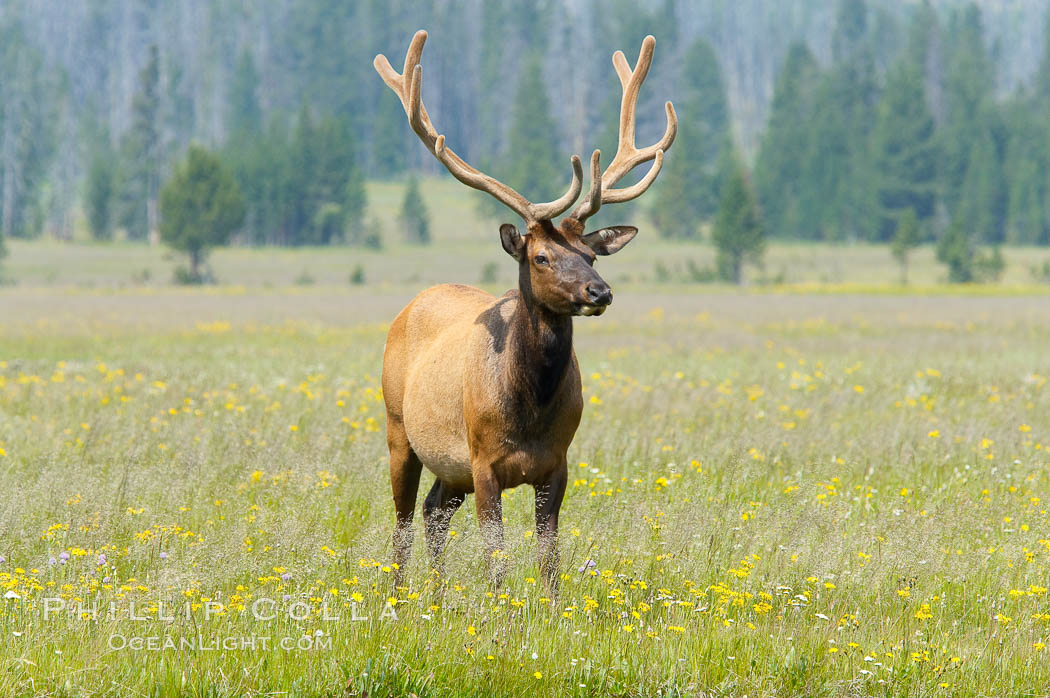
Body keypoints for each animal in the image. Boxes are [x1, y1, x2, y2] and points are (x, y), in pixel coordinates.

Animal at [373, 32, 676, 587]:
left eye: (591, 255)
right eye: (541, 256)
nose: (600, 292)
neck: (528, 410)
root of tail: (411, 305)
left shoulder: (557, 463)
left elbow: (549, 558)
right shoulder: (483, 461)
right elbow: (498, 561)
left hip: (450, 469)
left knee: (432, 512)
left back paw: (436, 595)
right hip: (399, 428)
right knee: (403, 521)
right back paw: (400, 595)